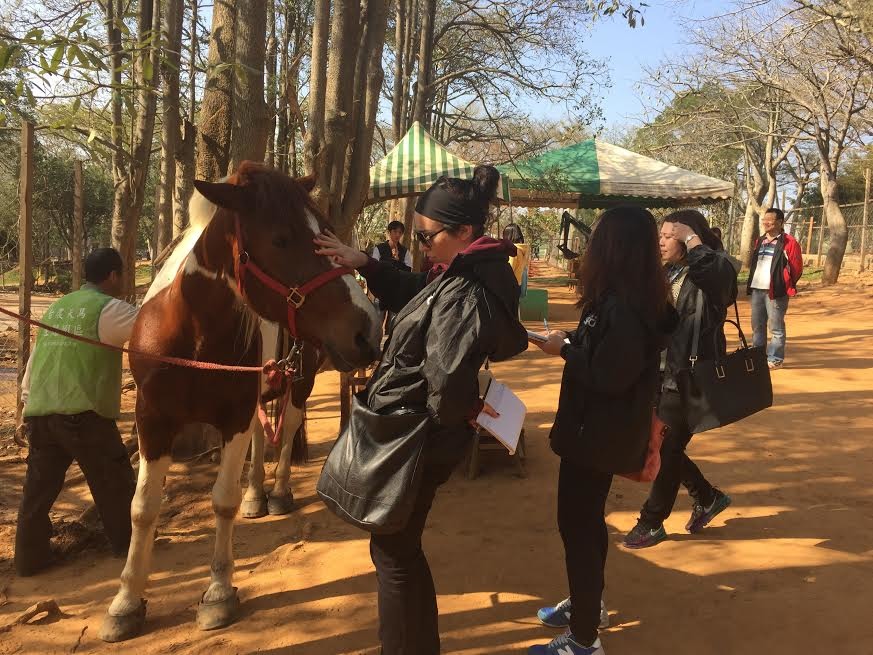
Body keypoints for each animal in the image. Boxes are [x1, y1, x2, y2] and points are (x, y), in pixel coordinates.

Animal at [99, 162, 381, 642]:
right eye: (281, 239)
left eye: (327, 232)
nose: (366, 329)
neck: (190, 337)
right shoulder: (152, 420)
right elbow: (142, 508)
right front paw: (125, 601)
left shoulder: (232, 417)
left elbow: (222, 501)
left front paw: (218, 592)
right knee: (260, 439)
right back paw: (256, 496)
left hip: (299, 384)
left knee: (286, 431)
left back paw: (279, 492)